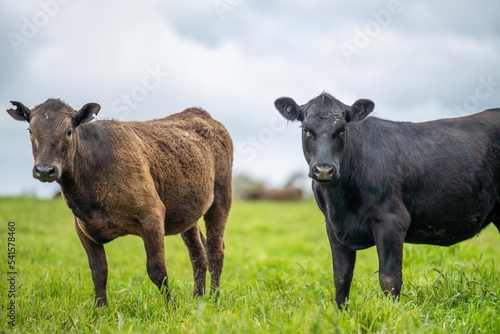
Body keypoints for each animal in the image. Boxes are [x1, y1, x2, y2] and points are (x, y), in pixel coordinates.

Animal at [7, 98, 234, 306]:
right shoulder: (81, 227)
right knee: (198, 253)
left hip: (221, 196)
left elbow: (157, 269)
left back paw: (214, 299)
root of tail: (200, 113)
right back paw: (198, 299)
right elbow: (98, 271)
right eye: (30, 131)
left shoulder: (152, 213)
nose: (45, 170)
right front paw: (101, 308)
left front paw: (171, 306)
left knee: (215, 250)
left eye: (69, 131)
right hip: (187, 211)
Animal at [276, 91, 498, 308]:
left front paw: (392, 312)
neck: (341, 203)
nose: (324, 169)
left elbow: (389, 279)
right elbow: (341, 277)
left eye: (342, 130)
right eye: (306, 129)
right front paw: (340, 313)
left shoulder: (392, 220)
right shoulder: (333, 227)